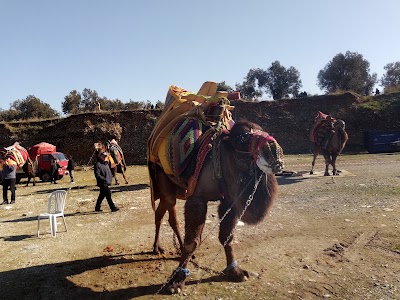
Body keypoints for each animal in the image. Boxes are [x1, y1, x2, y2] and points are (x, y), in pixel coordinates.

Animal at [148, 82, 284, 292]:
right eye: (243, 138)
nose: (274, 150)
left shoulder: (229, 200)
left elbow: (227, 236)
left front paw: (235, 272)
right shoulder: (197, 197)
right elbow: (192, 241)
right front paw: (177, 280)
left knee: (163, 212)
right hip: (163, 179)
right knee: (169, 216)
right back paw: (159, 249)